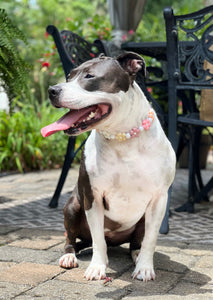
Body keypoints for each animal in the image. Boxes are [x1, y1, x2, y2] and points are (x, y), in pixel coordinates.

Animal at [40, 52, 176, 282]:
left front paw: (145, 268)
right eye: (69, 76)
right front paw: (97, 267)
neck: (123, 139)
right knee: (72, 238)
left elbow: (151, 239)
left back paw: (137, 255)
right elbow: (98, 240)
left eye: (89, 76)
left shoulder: (159, 200)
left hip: (141, 219)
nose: (52, 90)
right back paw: (69, 256)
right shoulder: (92, 197)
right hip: (73, 206)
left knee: (136, 242)